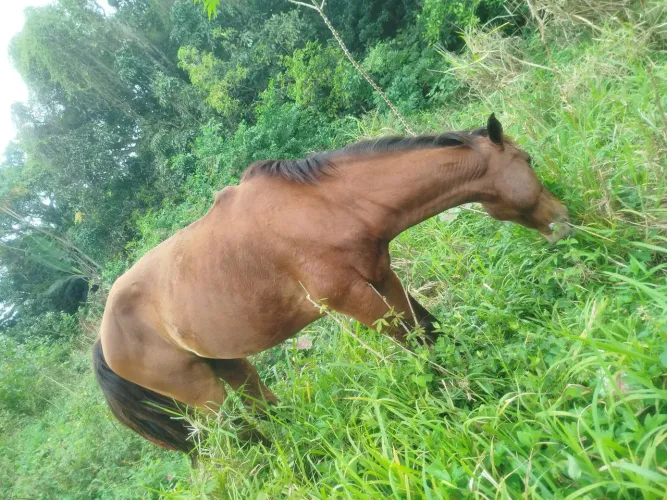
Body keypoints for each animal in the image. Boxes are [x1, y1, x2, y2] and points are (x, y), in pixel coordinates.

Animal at [93, 114, 572, 454]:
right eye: (528, 160)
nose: (565, 222)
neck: (327, 207)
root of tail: (104, 336)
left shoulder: (381, 276)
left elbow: (424, 329)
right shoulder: (351, 298)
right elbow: (410, 341)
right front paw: (457, 392)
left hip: (228, 363)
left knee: (262, 405)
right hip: (202, 394)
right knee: (243, 431)